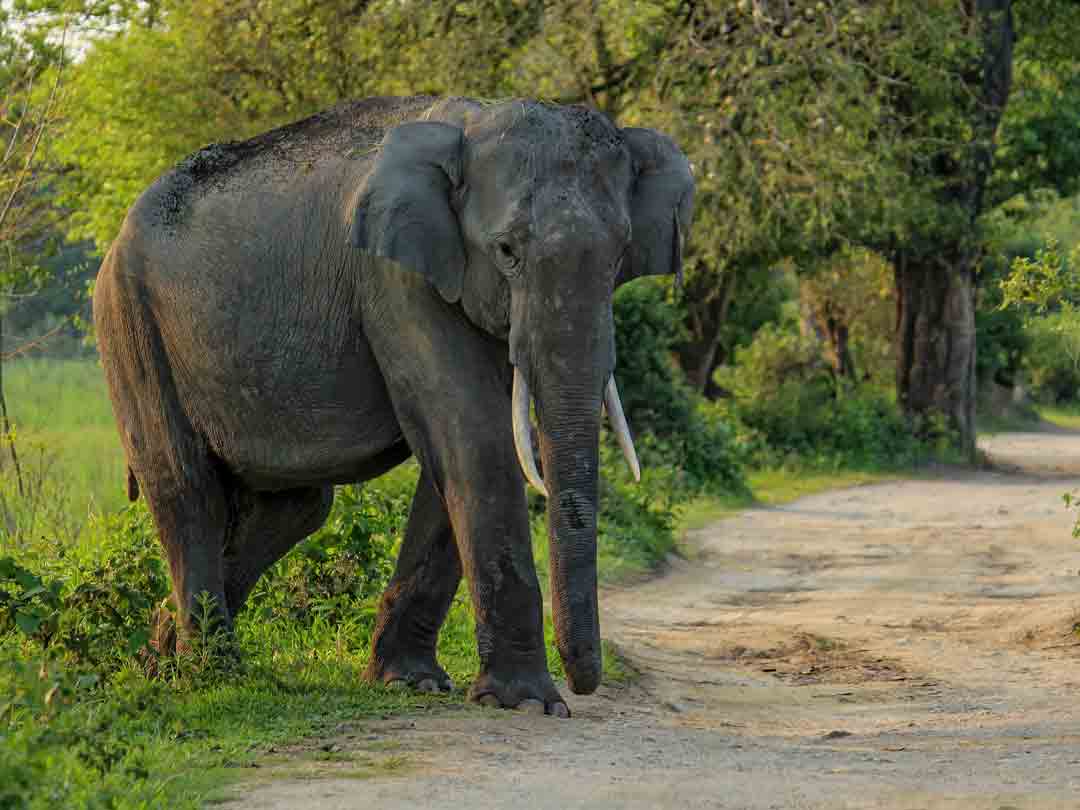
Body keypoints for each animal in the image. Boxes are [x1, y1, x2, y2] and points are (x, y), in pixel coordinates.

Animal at [92, 95, 691, 717]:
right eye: (506, 251)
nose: (583, 684)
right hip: (129, 322)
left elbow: (460, 454)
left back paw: (161, 657)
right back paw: (215, 674)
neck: (473, 122)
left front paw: (410, 683)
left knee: (295, 508)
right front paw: (528, 704)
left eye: (620, 256)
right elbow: (475, 436)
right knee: (186, 489)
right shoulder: (395, 280)